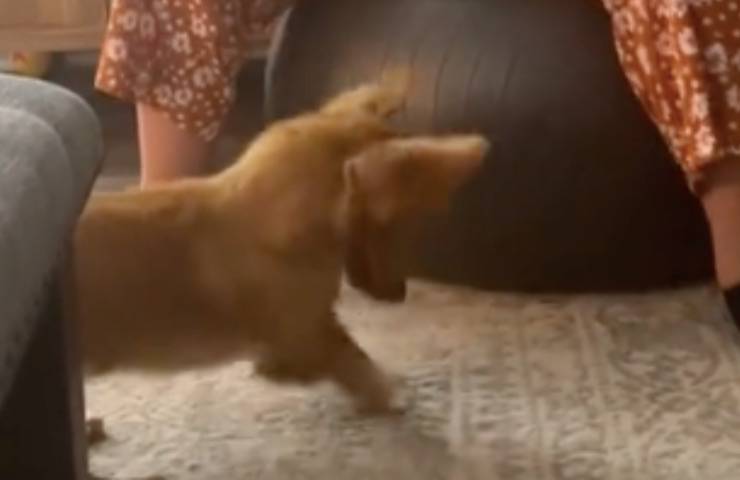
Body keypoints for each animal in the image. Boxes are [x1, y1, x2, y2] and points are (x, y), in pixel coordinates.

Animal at [67, 74, 489, 413]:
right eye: (395, 223)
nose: (401, 293)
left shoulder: (309, 327)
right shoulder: (306, 333)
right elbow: (352, 358)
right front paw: (389, 395)